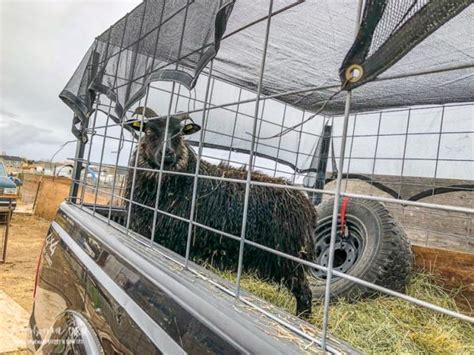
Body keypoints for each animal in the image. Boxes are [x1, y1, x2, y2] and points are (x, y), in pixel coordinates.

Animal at [125, 106, 318, 318]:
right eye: (149, 130)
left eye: (180, 132)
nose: (167, 153)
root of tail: (307, 205)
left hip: (289, 259)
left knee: (305, 293)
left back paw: (302, 318)